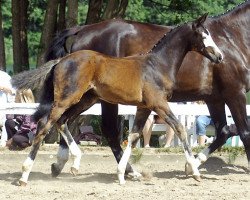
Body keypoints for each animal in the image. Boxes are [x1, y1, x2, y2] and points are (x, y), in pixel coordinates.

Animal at [12, 14, 223, 186]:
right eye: (204, 36)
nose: (219, 56)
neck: (158, 65)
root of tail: (61, 61)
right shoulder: (159, 104)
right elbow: (179, 128)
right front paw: (195, 171)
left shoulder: (144, 107)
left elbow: (134, 136)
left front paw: (123, 174)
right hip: (67, 98)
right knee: (44, 125)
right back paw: (24, 175)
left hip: (86, 100)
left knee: (62, 121)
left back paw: (74, 163)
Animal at [43, 1, 250, 177]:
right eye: (204, 36)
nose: (219, 57)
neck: (233, 37)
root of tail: (82, 30)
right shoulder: (235, 94)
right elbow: (243, 132)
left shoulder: (215, 98)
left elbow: (224, 132)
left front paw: (192, 165)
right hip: (101, 98)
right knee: (107, 130)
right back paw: (127, 170)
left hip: (88, 96)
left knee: (66, 119)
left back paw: (59, 164)